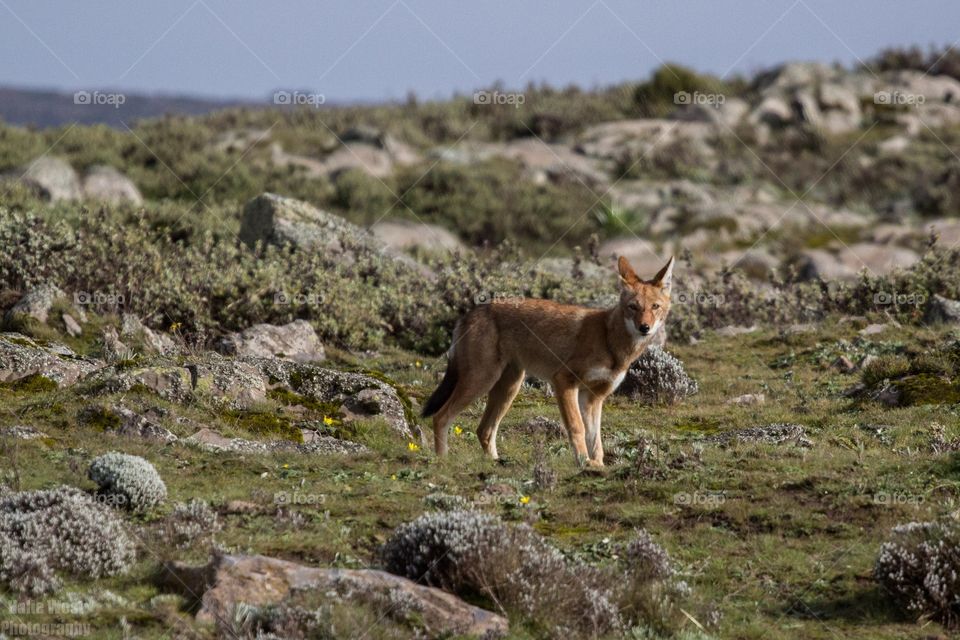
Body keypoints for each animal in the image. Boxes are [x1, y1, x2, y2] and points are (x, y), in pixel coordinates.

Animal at [420, 256, 676, 470]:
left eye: (655, 307)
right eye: (633, 307)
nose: (645, 328)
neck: (609, 340)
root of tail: (472, 312)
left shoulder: (593, 398)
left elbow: (596, 440)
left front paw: (598, 466)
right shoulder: (563, 381)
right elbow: (577, 428)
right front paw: (583, 463)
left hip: (509, 387)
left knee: (484, 430)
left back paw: (496, 463)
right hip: (482, 381)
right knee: (441, 417)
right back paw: (442, 461)